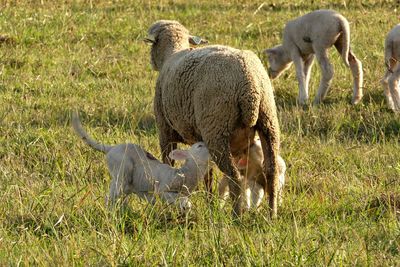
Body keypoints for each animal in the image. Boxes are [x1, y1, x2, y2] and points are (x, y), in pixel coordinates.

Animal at [71, 112, 211, 213]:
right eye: (199, 146)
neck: (184, 173)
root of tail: (111, 148)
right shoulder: (162, 188)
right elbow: (175, 198)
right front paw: (185, 205)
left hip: (126, 183)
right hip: (121, 171)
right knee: (110, 197)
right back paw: (112, 214)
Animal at [145, 20, 282, 218]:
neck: (172, 54)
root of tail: (249, 86)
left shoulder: (164, 130)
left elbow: (168, 163)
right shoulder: (202, 142)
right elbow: (207, 175)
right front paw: (210, 203)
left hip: (217, 128)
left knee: (235, 176)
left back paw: (236, 215)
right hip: (268, 121)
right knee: (271, 171)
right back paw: (272, 214)